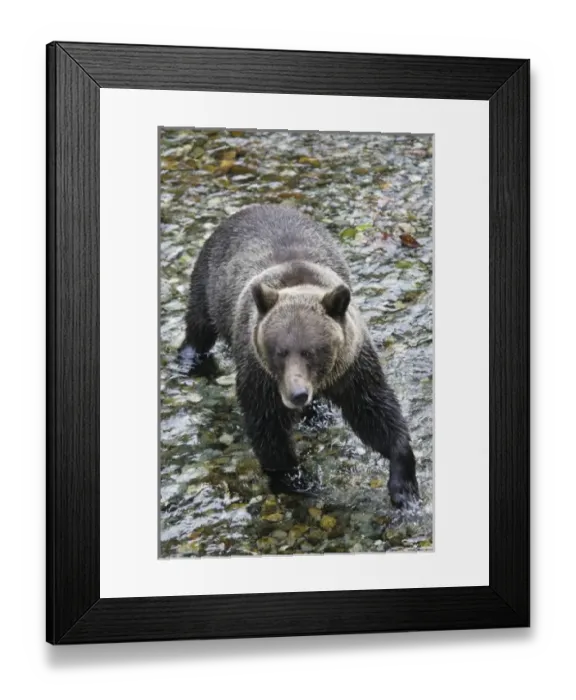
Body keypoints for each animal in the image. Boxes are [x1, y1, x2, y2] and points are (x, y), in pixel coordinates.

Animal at [178, 204, 419, 509]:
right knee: (199, 325)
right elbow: (268, 428)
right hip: (210, 285)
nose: (297, 394)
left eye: (311, 351)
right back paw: (189, 358)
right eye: (279, 351)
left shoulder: (353, 367)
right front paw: (296, 479)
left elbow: (374, 413)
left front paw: (404, 486)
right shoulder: (261, 376)